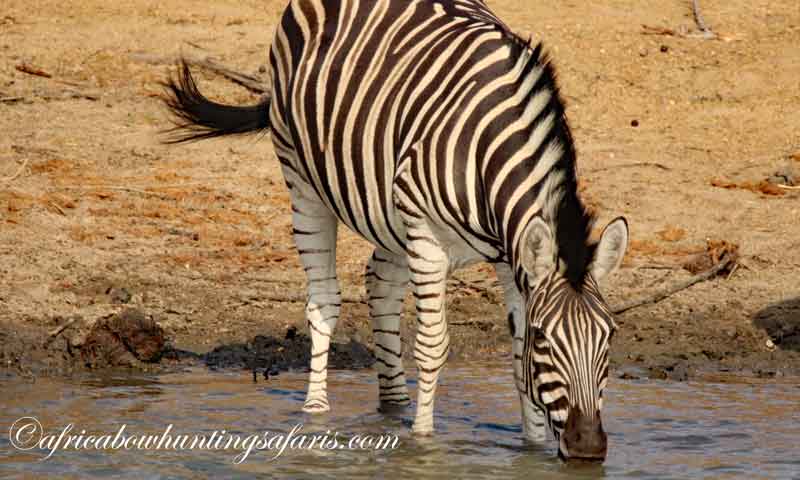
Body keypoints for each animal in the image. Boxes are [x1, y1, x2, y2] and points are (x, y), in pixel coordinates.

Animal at [161, 0, 628, 461]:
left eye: (609, 338)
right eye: (545, 340)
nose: (588, 448)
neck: (490, 154)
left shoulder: (510, 257)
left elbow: (516, 358)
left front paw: (530, 447)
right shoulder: (428, 235)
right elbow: (433, 346)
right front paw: (422, 443)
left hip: (390, 214)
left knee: (380, 283)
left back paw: (394, 403)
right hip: (302, 178)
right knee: (324, 301)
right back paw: (316, 413)